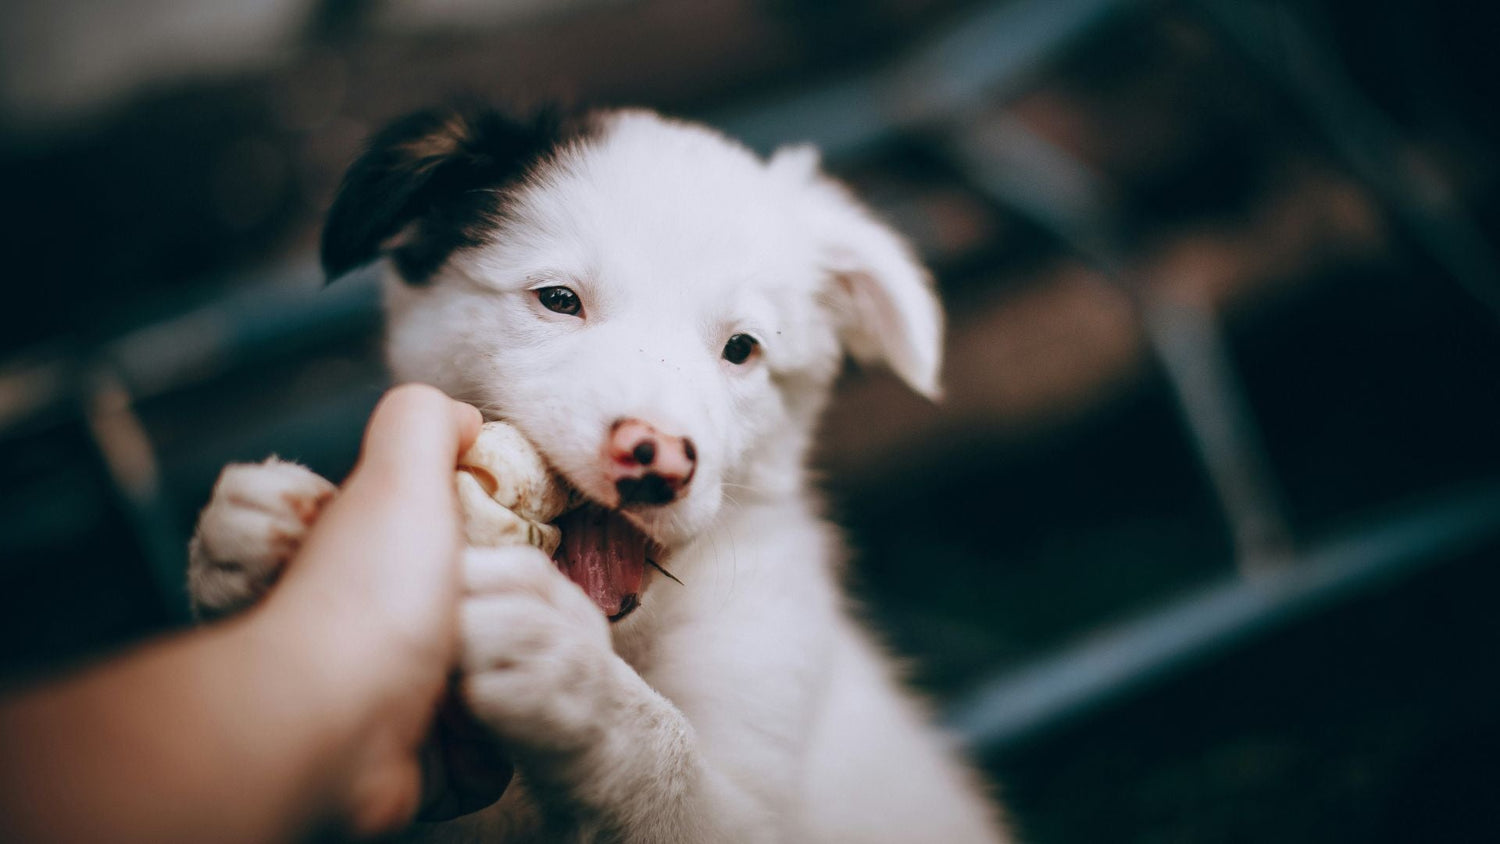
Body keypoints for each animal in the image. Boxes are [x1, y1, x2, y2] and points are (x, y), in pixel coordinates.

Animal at [187, 105, 1008, 844]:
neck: (634, 636)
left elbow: (678, 771)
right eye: (558, 299)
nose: (657, 460)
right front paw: (248, 541)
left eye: (742, 349)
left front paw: (574, 680)